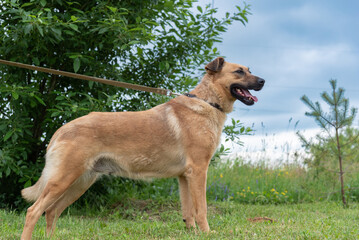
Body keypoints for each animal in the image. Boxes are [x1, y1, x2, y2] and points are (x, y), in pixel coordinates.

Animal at [21, 57, 266, 239]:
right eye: (239, 72)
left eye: (249, 70)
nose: (263, 81)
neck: (207, 102)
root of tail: (62, 129)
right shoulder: (198, 171)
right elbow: (201, 209)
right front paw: (207, 234)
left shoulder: (184, 177)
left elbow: (188, 212)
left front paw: (194, 234)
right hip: (63, 180)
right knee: (34, 211)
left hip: (79, 183)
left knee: (51, 211)